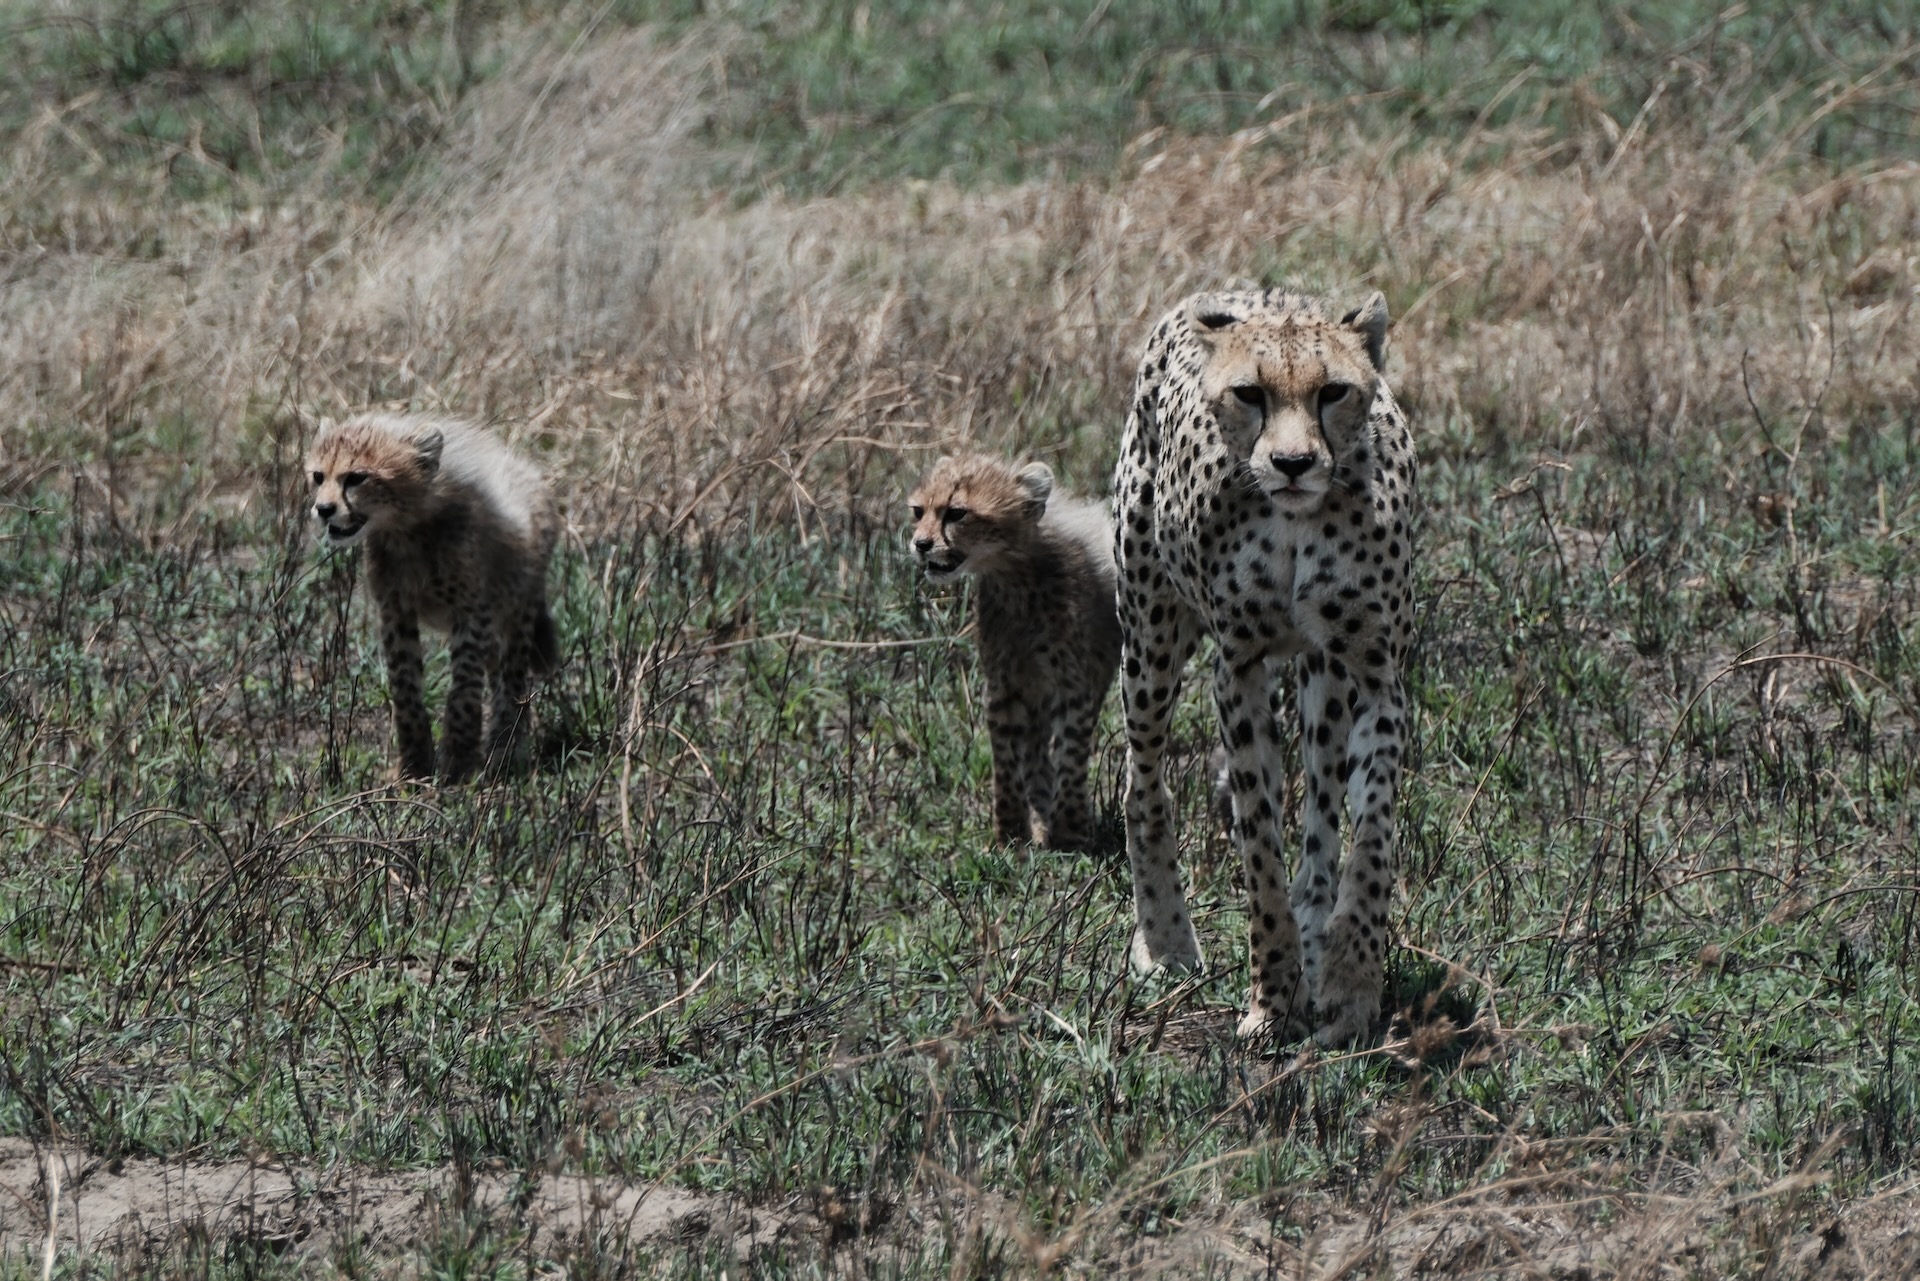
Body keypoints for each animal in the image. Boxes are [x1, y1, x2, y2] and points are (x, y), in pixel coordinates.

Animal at [305, 412, 560, 783]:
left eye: (356, 477)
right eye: (318, 476)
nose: (323, 509)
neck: (407, 529)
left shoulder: (472, 612)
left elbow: (464, 687)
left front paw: (459, 763)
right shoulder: (395, 611)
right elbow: (405, 687)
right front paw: (414, 766)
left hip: (518, 612)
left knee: (512, 681)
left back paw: (505, 752)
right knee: (498, 670)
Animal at [909, 454, 1122, 853]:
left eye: (956, 513)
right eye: (918, 511)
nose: (920, 544)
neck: (1015, 577)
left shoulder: (1073, 687)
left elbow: (1070, 755)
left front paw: (1070, 833)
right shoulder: (1005, 685)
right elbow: (1007, 761)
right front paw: (1010, 832)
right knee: (1036, 751)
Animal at [1111, 286, 1417, 1047]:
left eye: (1333, 391)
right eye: (1250, 393)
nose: (1294, 463)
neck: (1296, 523)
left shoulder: (1375, 675)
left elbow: (1369, 837)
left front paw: (1348, 983)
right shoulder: (1239, 668)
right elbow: (1258, 846)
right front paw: (1272, 998)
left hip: (1322, 679)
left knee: (1321, 822)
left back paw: (1315, 934)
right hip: (1150, 635)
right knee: (1142, 781)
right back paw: (1166, 940)